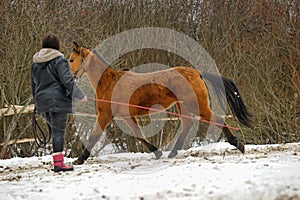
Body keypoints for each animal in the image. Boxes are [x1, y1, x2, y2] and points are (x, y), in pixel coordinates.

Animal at [68, 42, 251, 164]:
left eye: (71, 60)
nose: (70, 77)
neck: (109, 83)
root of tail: (197, 72)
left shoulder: (105, 115)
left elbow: (94, 136)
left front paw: (79, 159)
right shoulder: (126, 116)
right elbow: (139, 135)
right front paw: (157, 152)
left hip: (197, 106)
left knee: (217, 120)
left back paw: (238, 144)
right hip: (183, 106)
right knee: (187, 124)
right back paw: (173, 152)